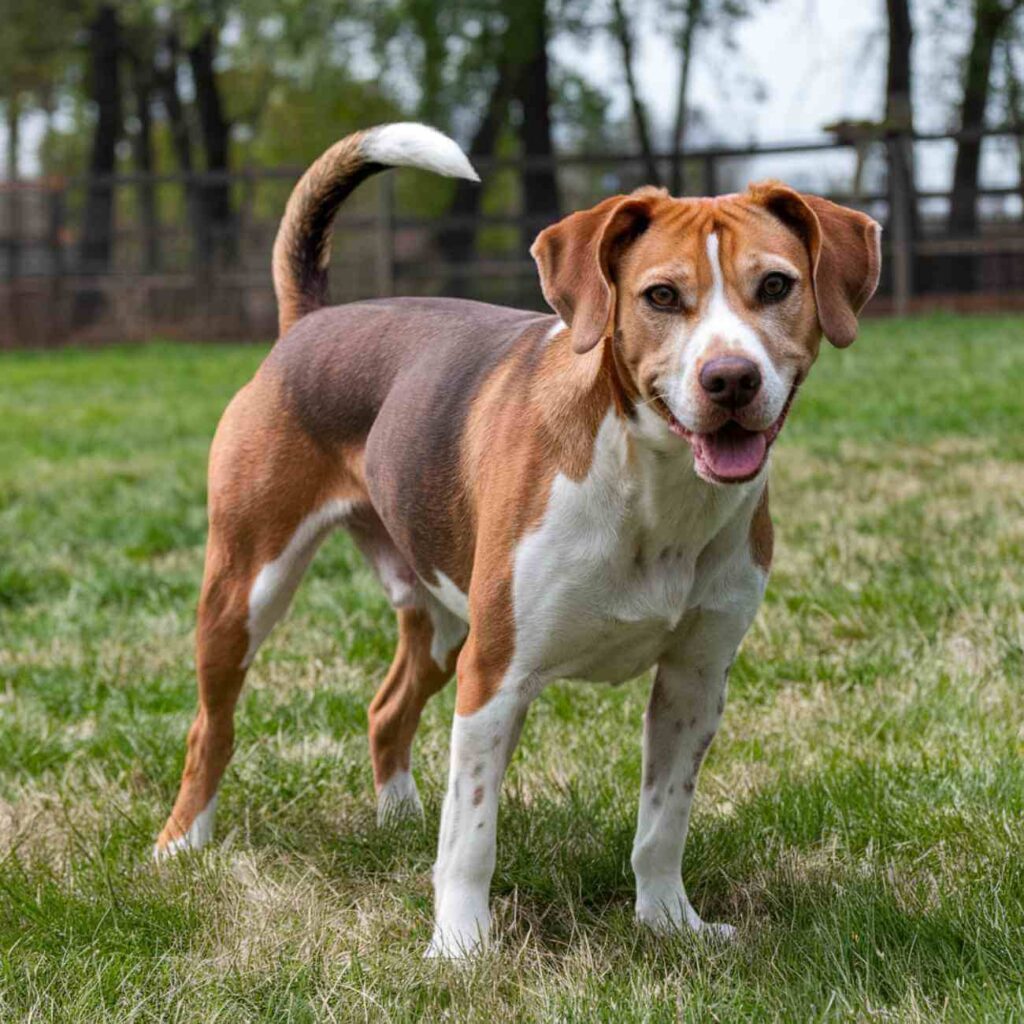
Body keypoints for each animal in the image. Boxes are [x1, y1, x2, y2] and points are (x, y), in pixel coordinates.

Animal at [155, 123, 884, 954]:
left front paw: (669, 920)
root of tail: (310, 321)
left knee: (386, 709)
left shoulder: (694, 681)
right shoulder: (496, 674)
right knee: (211, 729)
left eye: (776, 286)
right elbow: (472, 833)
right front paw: (461, 946)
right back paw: (182, 844)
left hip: (441, 619)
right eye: (662, 296)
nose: (729, 379)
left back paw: (398, 821)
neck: (651, 489)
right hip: (248, 590)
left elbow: (663, 822)